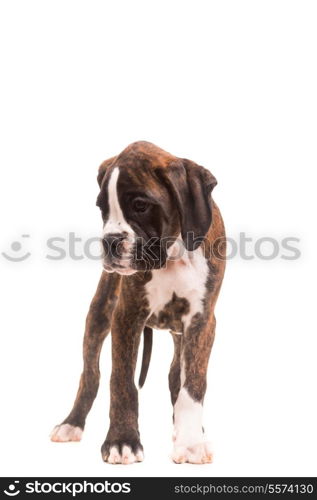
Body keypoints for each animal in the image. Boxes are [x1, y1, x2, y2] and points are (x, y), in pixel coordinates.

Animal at [50, 141, 225, 464]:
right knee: (90, 375)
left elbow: (193, 385)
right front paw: (122, 441)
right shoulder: (126, 315)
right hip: (100, 312)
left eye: (141, 206)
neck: (171, 255)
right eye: (102, 208)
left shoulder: (202, 321)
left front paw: (191, 442)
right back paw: (71, 424)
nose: (109, 241)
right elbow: (121, 382)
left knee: (175, 377)